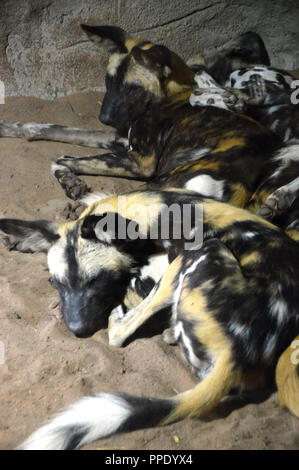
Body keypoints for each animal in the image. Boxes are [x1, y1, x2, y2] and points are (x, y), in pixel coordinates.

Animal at [0, 189, 298, 450]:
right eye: (56, 283)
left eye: (97, 281)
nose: (77, 329)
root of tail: (237, 353)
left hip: (199, 251)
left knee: (120, 332)